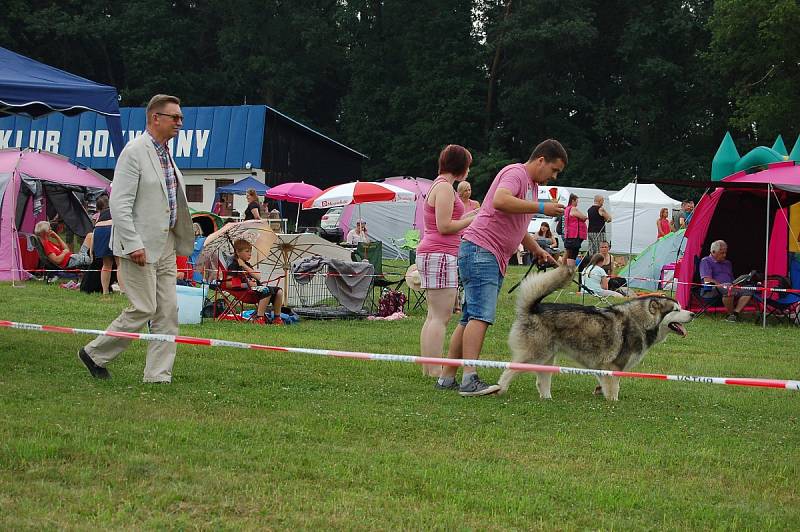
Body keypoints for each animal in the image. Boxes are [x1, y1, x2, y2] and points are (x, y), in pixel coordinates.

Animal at [500, 264, 692, 402]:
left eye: (681, 307)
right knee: (509, 370)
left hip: (547, 358)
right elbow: (614, 390)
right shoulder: (613, 367)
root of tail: (533, 309)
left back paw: (547, 398)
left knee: (542, 381)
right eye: (676, 310)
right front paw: (613, 402)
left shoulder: (605, 368)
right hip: (536, 354)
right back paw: (498, 389)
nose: (693, 314)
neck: (641, 321)